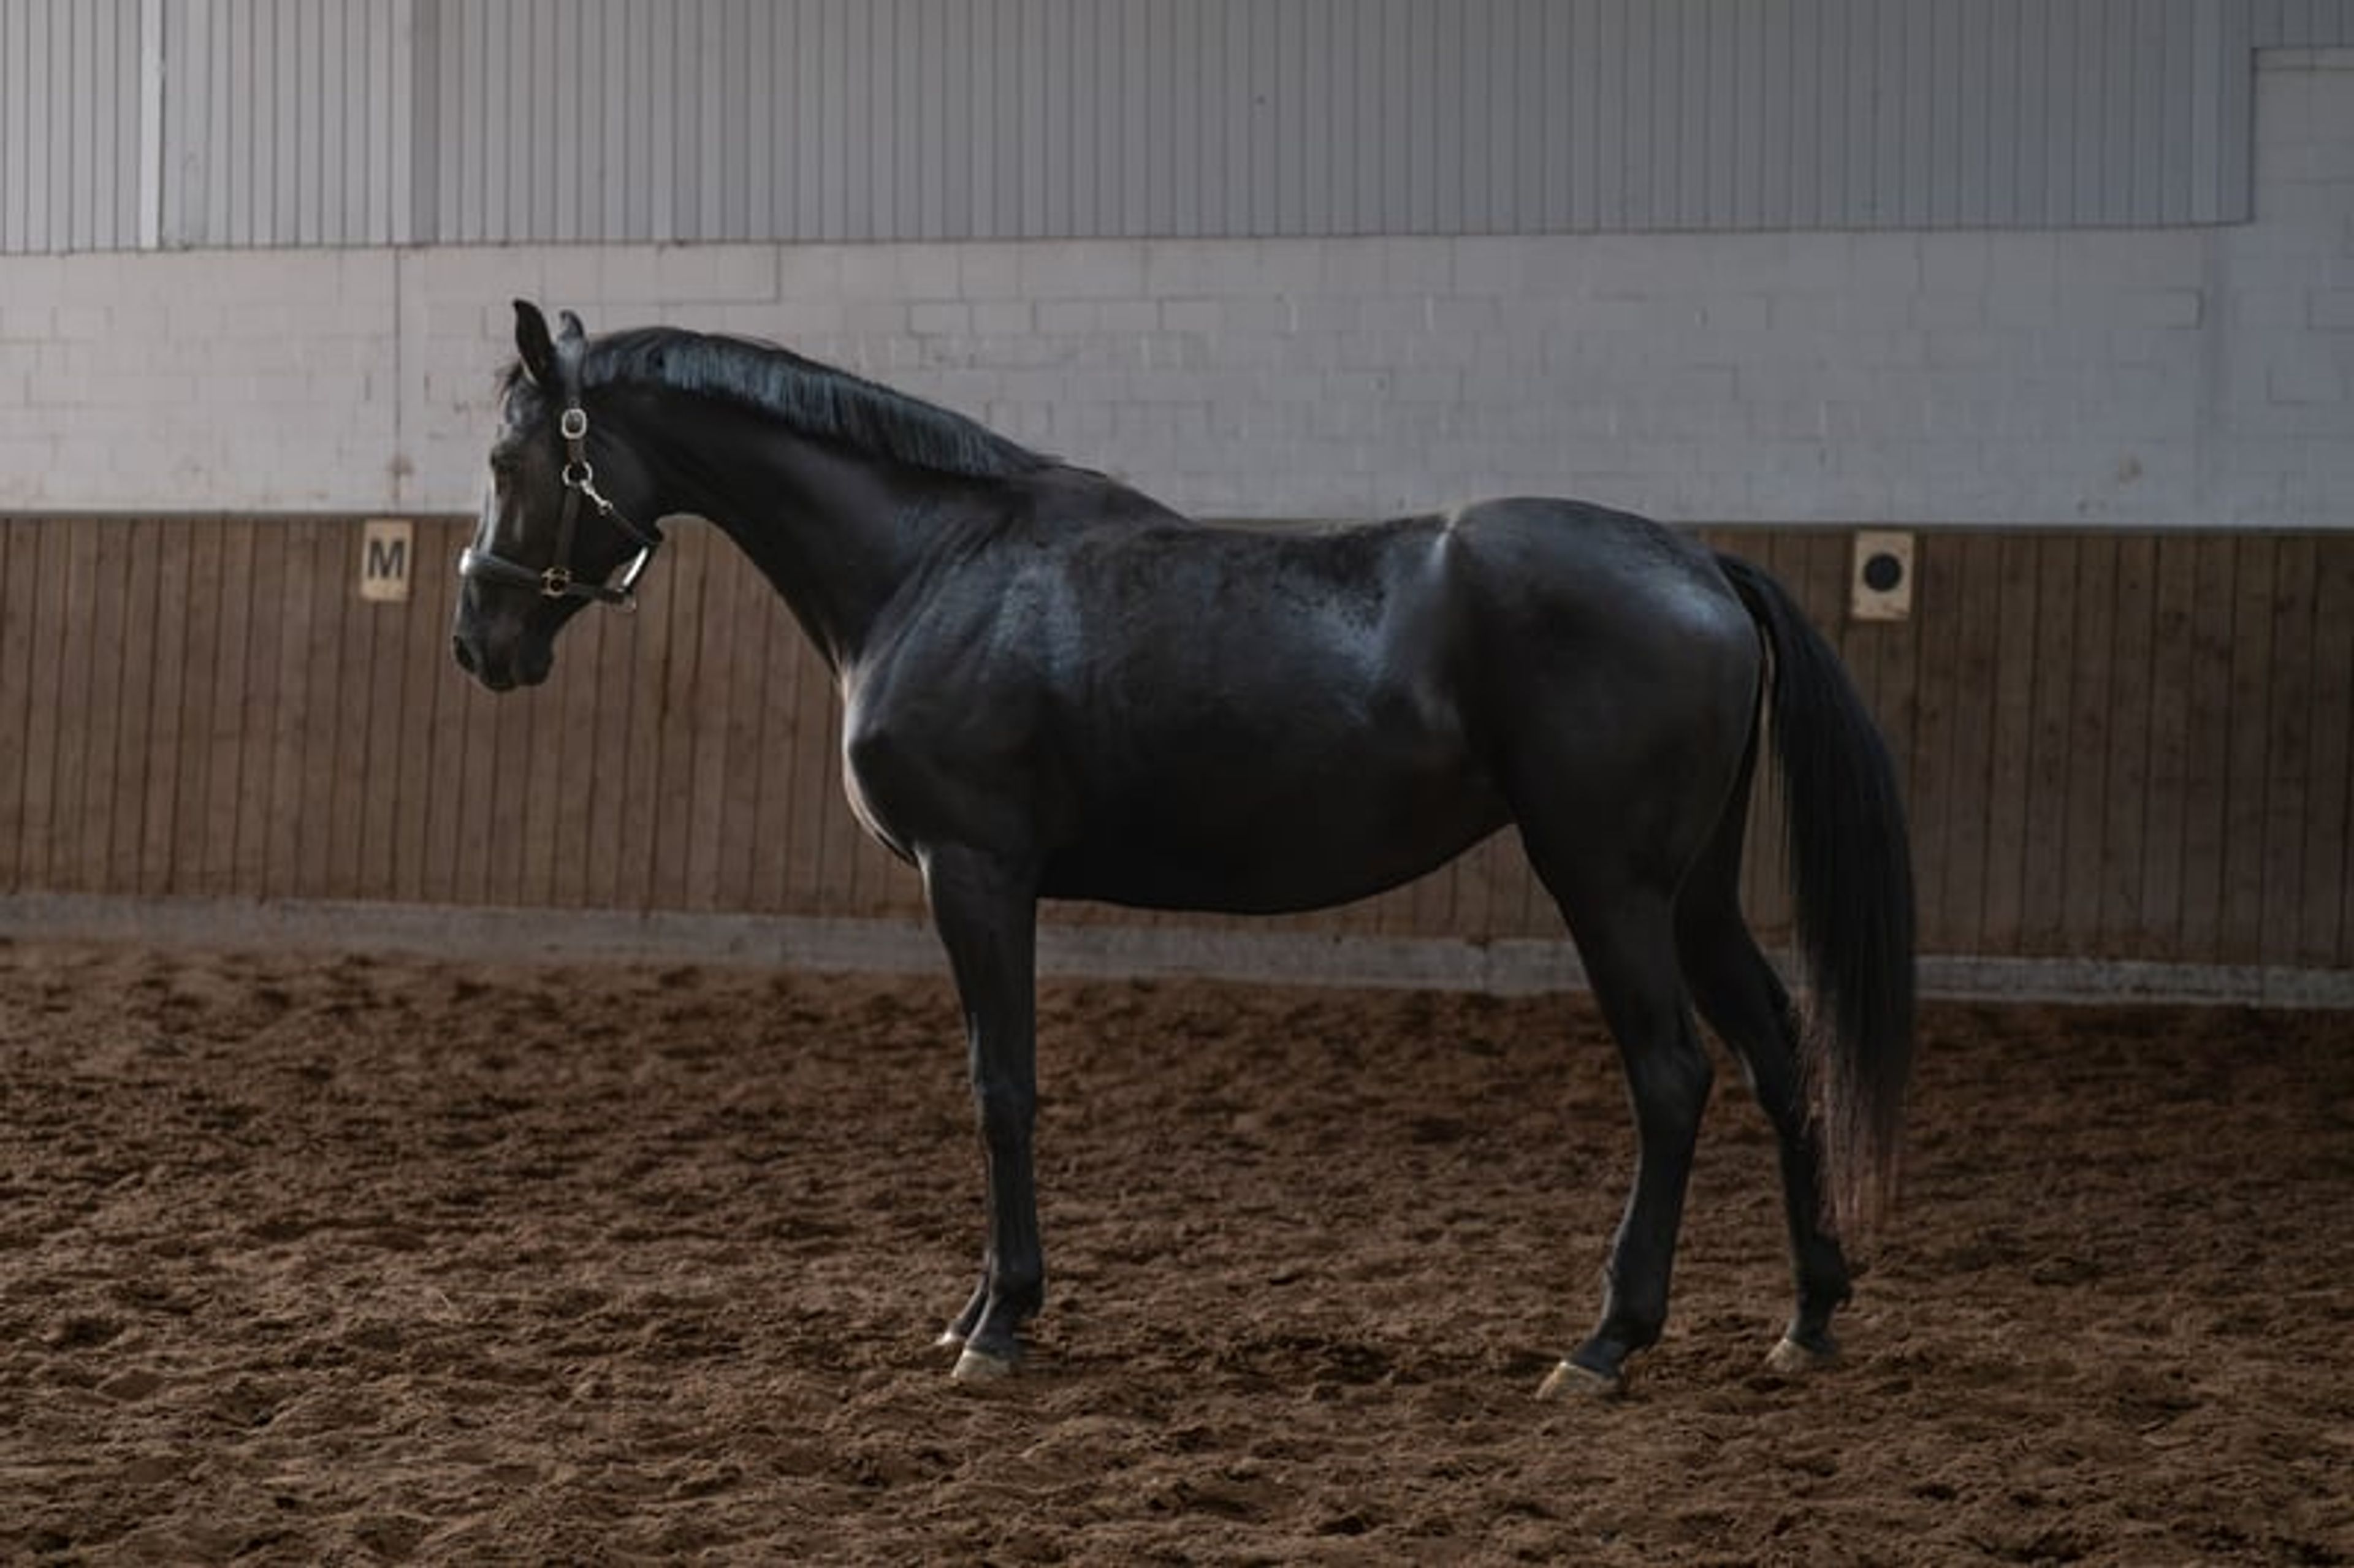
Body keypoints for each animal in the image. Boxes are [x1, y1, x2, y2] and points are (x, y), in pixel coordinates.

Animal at [452, 300, 1915, 1397]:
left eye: (510, 466)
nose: (478, 639)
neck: (934, 563)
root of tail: (1702, 565)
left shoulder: (974, 873)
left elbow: (1001, 1087)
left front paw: (999, 1323)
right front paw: (980, 1308)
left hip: (1607, 883)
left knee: (1673, 1077)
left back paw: (1607, 1341)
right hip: (1693, 892)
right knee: (1780, 1053)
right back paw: (1809, 1316)